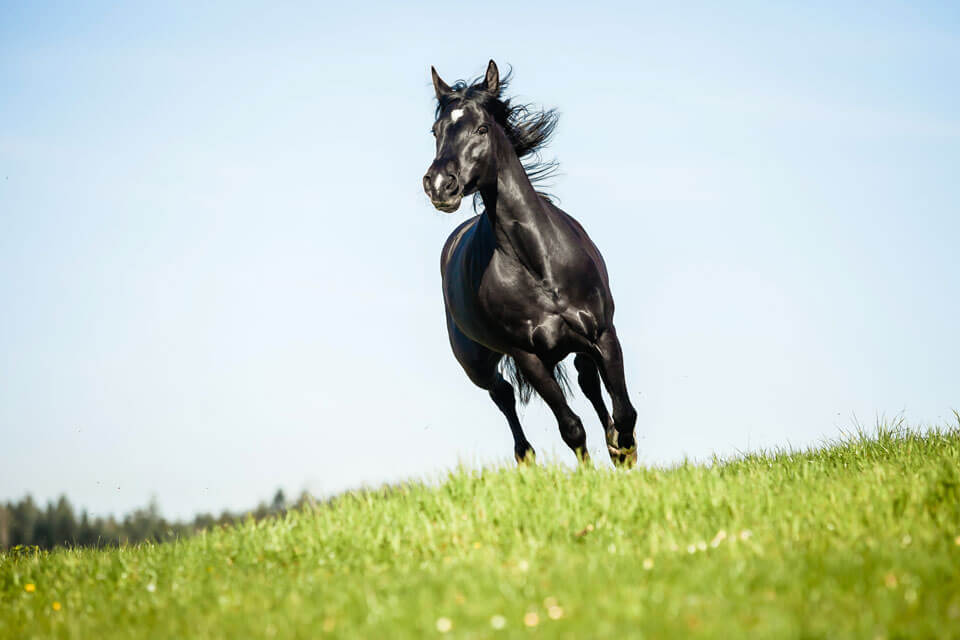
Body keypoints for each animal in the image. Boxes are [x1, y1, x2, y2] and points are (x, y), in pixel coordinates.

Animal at [422, 62, 636, 468]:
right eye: (436, 131)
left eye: (482, 128)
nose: (439, 185)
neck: (540, 266)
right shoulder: (530, 357)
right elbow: (571, 427)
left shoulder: (603, 334)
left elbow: (624, 412)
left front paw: (624, 454)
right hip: (477, 363)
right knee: (503, 395)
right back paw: (525, 457)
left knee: (587, 381)